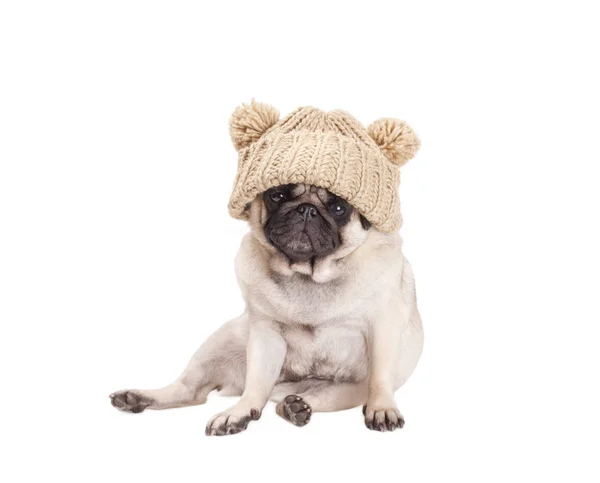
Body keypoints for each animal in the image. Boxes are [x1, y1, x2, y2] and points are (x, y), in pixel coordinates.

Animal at [110, 101, 424, 434]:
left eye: (339, 208)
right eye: (278, 195)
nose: (307, 210)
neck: (308, 274)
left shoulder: (384, 329)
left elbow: (380, 377)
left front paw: (382, 408)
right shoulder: (265, 335)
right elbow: (256, 383)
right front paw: (239, 412)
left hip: (345, 390)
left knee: (310, 397)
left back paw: (296, 407)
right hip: (221, 342)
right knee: (192, 391)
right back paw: (139, 398)